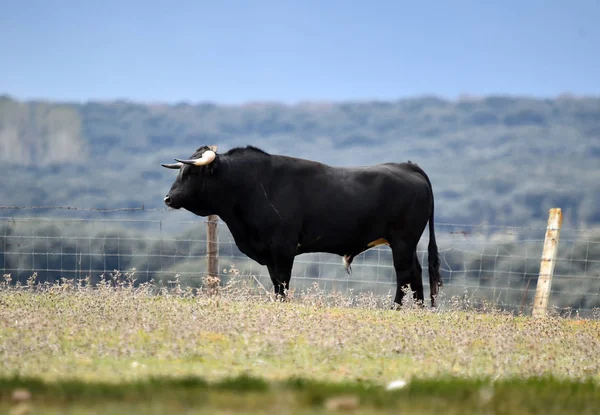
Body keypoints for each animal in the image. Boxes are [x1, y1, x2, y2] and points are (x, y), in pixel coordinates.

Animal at [162, 145, 442, 308]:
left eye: (190, 173)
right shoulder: (270, 253)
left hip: (403, 240)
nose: (168, 198)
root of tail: (408, 166)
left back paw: (397, 308)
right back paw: (418, 309)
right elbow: (276, 283)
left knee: (404, 273)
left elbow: (283, 282)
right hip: (407, 243)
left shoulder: (283, 248)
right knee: (415, 272)